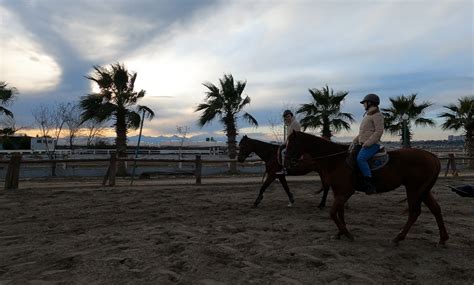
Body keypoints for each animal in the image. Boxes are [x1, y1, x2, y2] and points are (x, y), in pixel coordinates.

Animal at [284, 131, 450, 244]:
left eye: (291, 144)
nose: (286, 164)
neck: (337, 160)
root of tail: (433, 157)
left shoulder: (345, 192)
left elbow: (332, 213)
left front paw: (347, 234)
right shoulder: (338, 192)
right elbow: (340, 213)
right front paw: (340, 233)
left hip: (414, 190)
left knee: (415, 212)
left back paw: (399, 237)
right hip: (423, 191)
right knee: (436, 209)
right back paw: (442, 238)